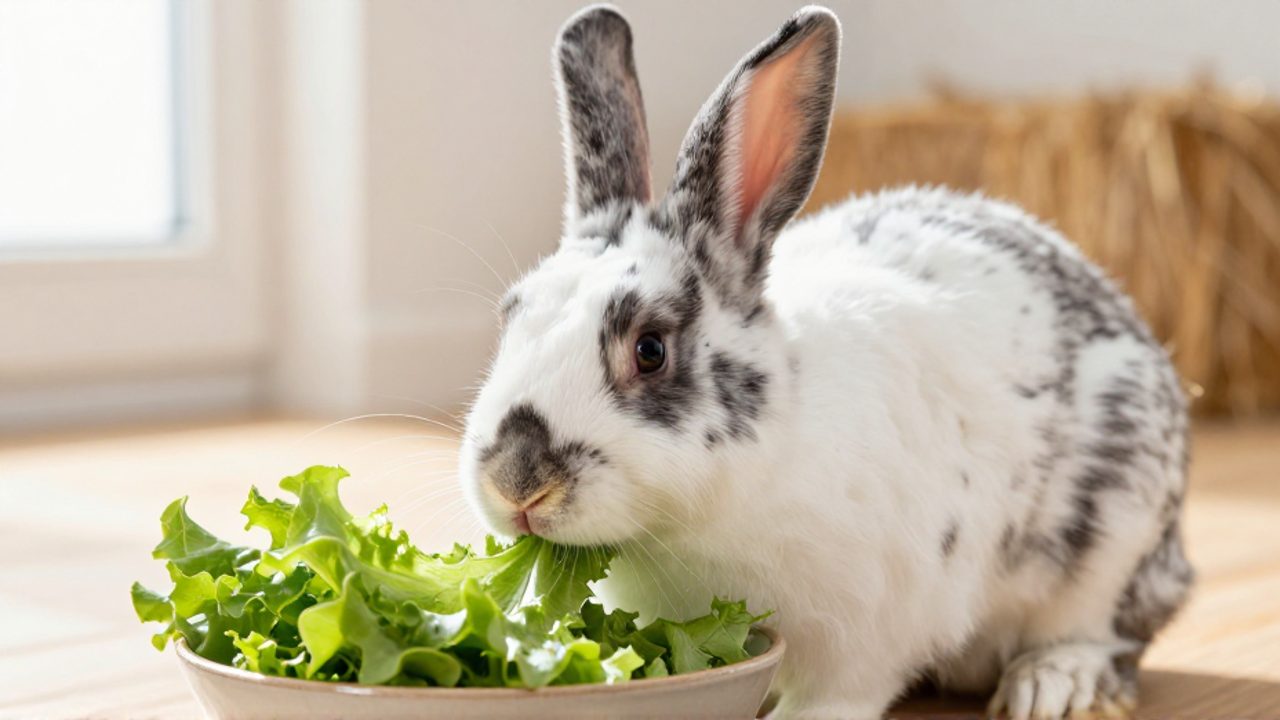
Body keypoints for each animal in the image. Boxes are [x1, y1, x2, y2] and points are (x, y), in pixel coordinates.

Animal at [457, 5, 1192, 719]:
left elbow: (842, 691)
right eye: (511, 317)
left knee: (1101, 632)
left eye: (651, 349)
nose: (516, 483)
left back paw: (1049, 685)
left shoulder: (868, 630)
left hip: (1113, 533)